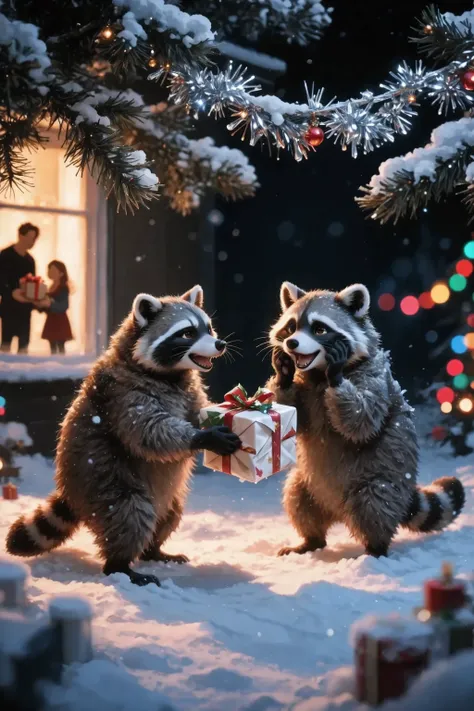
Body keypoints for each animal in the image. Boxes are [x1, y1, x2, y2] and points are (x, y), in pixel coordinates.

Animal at [6, 286, 240, 586]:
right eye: (188, 333)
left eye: (208, 328)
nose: (220, 344)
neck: (171, 374)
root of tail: (69, 493)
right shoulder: (123, 393)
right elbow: (148, 431)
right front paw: (202, 437)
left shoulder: (188, 389)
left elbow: (197, 410)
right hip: (102, 480)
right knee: (129, 513)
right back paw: (120, 565)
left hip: (161, 493)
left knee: (170, 513)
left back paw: (154, 550)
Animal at [266, 281, 465, 558]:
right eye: (291, 327)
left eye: (319, 329)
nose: (292, 343)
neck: (317, 374)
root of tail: (336, 511)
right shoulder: (305, 387)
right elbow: (294, 417)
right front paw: (283, 375)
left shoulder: (373, 377)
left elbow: (363, 419)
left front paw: (336, 376)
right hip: (308, 482)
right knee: (297, 497)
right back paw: (311, 540)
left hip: (381, 479)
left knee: (374, 504)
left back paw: (375, 548)